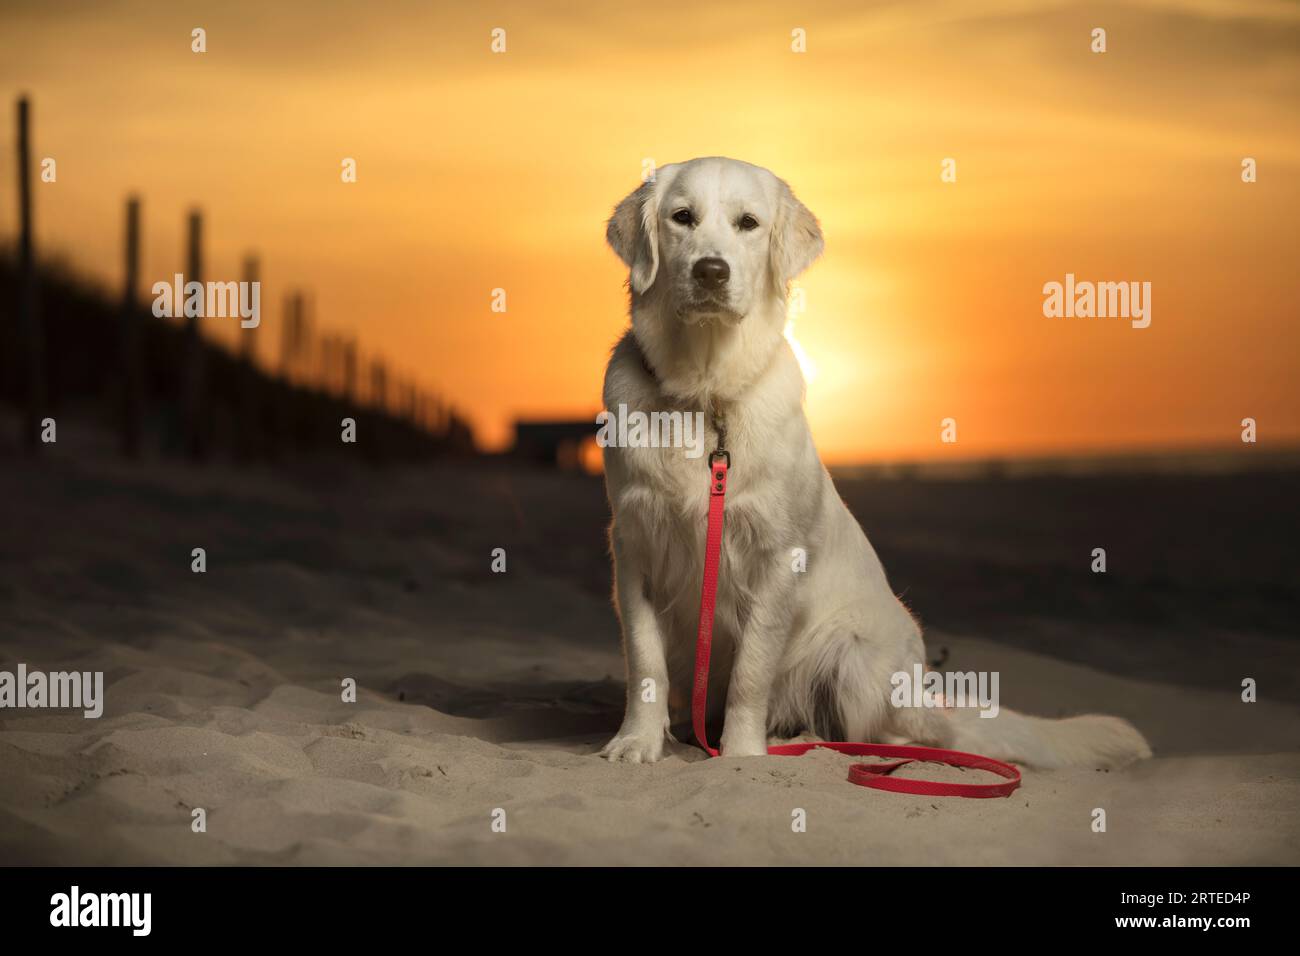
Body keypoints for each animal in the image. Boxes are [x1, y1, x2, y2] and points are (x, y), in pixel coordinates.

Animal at [595, 157, 1149, 770]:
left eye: (748, 223)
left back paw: (807, 741)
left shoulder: (774, 559)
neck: (705, 394)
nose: (711, 271)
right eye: (682, 218)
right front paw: (637, 741)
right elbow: (645, 661)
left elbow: (750, 674)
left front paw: (741, 755)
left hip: (858, 659)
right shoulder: (636, 547)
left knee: (897, 737)